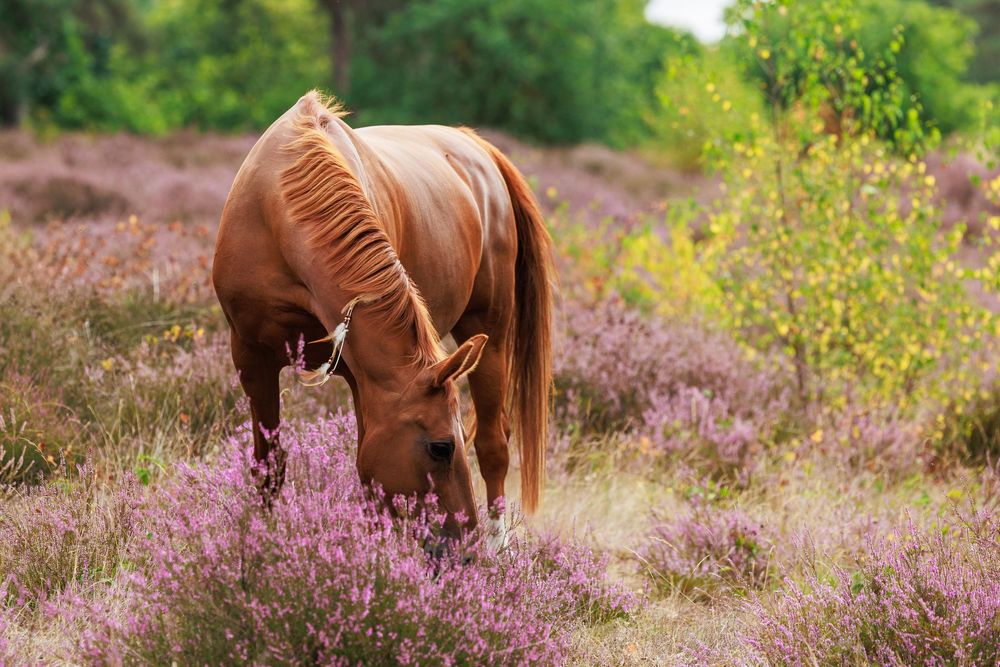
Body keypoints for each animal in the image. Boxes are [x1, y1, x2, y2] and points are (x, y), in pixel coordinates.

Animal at [212, 91, 553, 545]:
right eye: (441, 447)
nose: (465, 545)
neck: (278, 210)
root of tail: (477, 148)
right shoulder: (252, 358)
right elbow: (270, 464)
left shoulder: (362, 376)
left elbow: (368, 475)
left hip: (490, 333)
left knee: (494, 444)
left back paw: (499, 545)